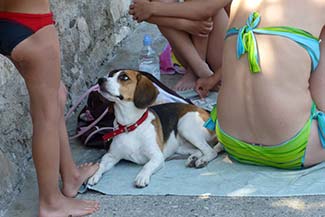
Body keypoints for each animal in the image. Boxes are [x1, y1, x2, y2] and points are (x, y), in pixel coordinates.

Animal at [87, 70, 221, 188]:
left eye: (124, 77)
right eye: (110, 75)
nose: (100, 80)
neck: (130, 125)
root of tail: (207, 113)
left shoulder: (157, 156)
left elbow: (146, 166)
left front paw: (142, 177)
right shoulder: (111, 156)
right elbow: (100, 165)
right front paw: (94, 175)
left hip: (185, 125)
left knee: (211, 151)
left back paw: (202, 160)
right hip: (180, 146)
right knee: (200, 150)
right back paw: (193, 158)